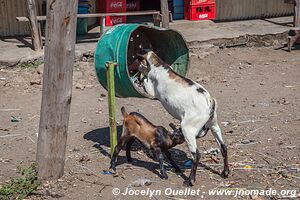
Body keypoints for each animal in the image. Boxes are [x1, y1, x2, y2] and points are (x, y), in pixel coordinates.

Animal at [137, 51, 230, 186]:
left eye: (138, 62)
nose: (137, 74)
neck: (159, 65)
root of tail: (209, 101)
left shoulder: (151, 89)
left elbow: (146, 83)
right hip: (214, 125)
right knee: (223, 147)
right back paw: (225, 172)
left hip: (188, 130)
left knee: (196, 155)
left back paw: (190, 180)